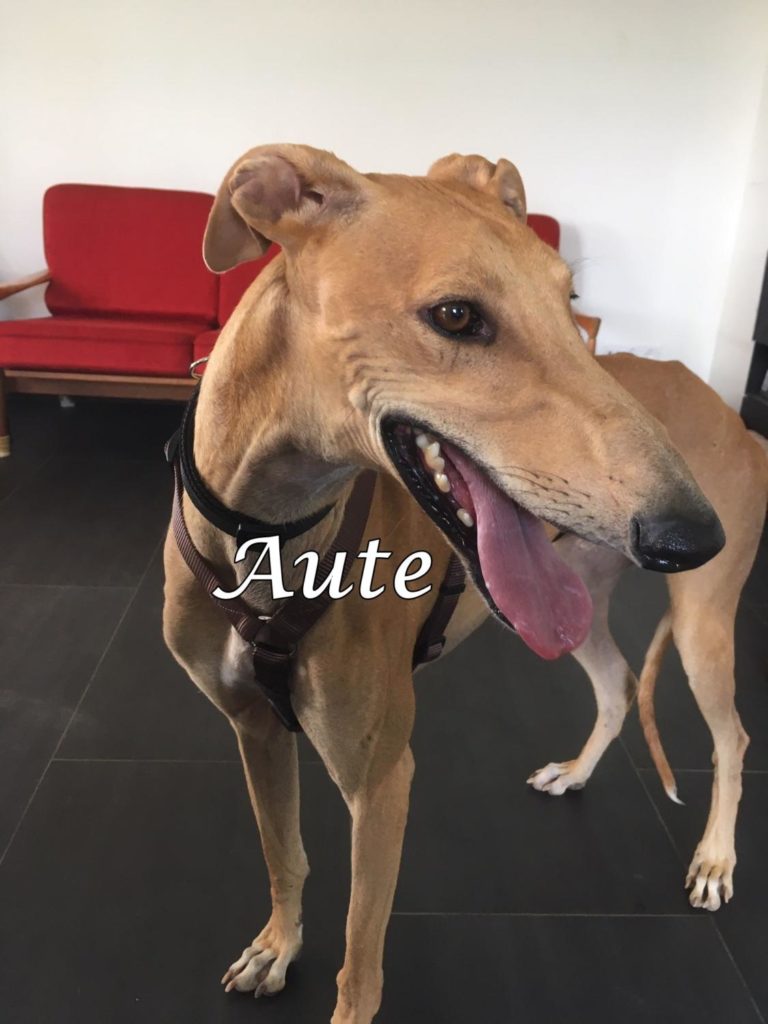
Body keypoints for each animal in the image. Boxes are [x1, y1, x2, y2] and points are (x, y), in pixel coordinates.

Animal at [162, 144, 768, 1023]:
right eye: (455, 317)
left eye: (570, 301)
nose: (695, 533)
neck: (267, 534)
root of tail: (740, 421)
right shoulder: (254, 730)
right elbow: (285, 857)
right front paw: (276, 947)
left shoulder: (382, 780)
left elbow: (360, 963)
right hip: (575, 610)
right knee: (618, 683)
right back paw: (576, 772)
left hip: (701, 625)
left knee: (732, 739)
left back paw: (716, 861)